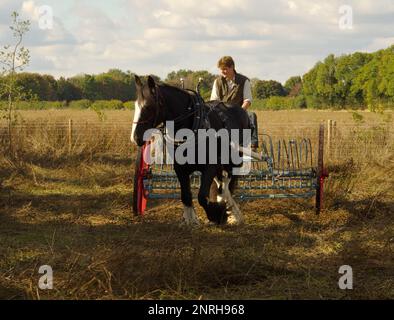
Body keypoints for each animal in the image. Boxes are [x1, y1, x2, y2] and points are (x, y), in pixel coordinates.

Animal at [131, 75, 251, 225]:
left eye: (148, 107)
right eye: (135, 106)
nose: (135, 137)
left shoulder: (211, 166)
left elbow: (202, 196)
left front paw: (217, 214)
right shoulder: (180, 168)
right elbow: (186, 195)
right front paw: (191, 219)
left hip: (235, 158)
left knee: (228, 183)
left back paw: (233, 212)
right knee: (222, 183)